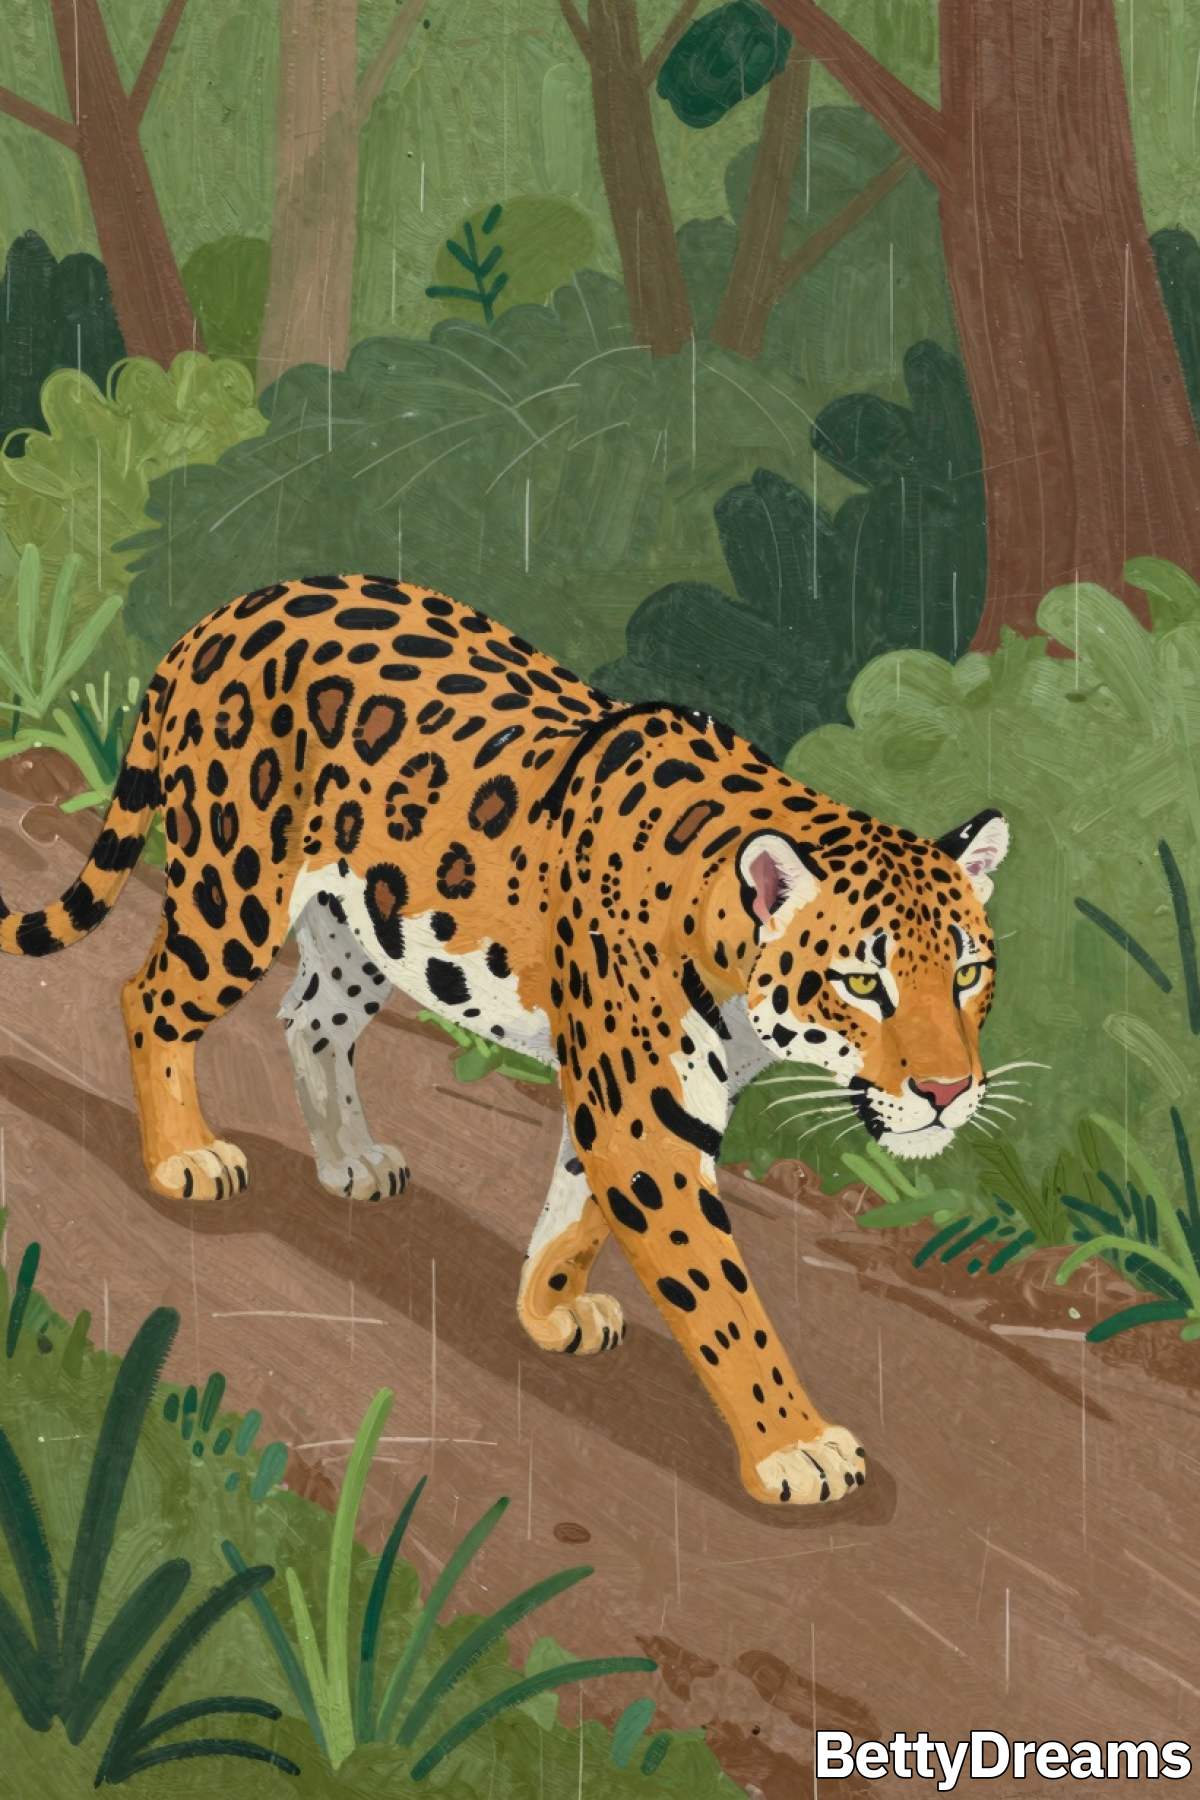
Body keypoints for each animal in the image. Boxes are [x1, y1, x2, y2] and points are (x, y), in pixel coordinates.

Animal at [0, 575, 1009, 1506]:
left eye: (966, 974)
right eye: (863, 983)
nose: (950, 1092)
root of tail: (235, 606)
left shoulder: (639, 1105)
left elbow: (576, 1212)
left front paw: (549, 1312)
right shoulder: (643, 1117)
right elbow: (720, 1297)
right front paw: (795, 1447)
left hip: (362, 926)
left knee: (309, 1018)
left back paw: (351, 1161)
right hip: (234, 894)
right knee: (149, 996)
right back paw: (186, 1158)